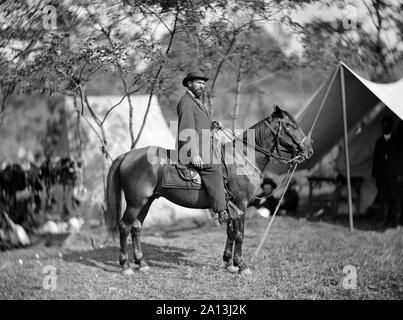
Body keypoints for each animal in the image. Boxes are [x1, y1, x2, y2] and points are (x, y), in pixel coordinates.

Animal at [104, 105, 312, 276]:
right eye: (290, 125)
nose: (309, 150)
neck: (242, 159)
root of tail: (127, 155)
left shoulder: (231, 206)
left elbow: (230, 232)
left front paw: (229, 263)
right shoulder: (241, 204)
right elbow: (239, 234)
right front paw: (241, 265)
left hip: (146, 201)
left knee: (136, 228)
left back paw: (142, 263)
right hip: (135, 202)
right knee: (124, 227)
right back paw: (126, 266)